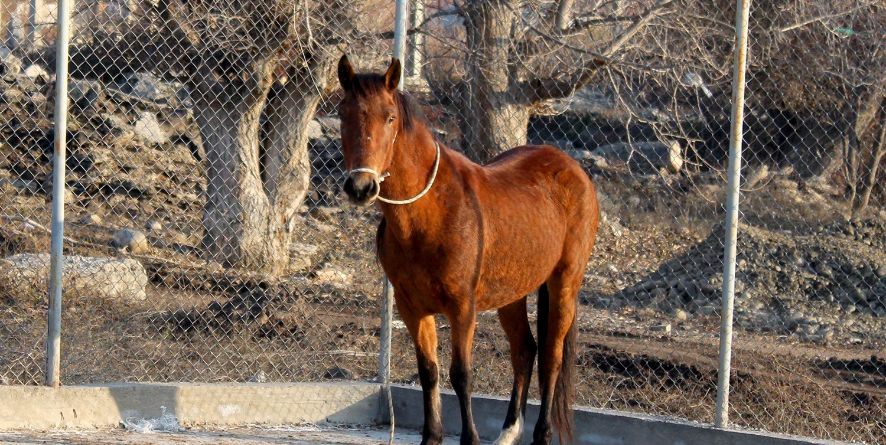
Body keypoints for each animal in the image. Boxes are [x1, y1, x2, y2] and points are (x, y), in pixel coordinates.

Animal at [340, 56, 604, 444]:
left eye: (389, 117)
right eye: (343, 114)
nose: (361, 186)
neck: (431, 212)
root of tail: (572, 168)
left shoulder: (462, 307)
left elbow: (461, 373)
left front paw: (470, 438)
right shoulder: (411, 307)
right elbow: (429, 371)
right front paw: (431, 437)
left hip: (564, 283)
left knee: (551, 359)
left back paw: (541, 434)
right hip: (513, 292)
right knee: (524, 351)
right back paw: (508, 432)